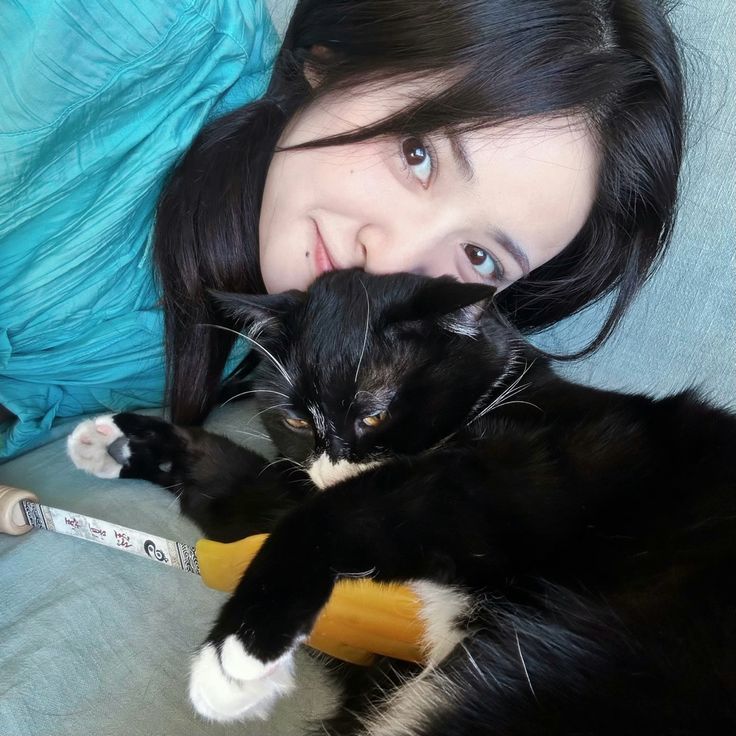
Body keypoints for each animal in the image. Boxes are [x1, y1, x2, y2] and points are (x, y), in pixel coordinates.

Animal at [67, 272, 736, 736]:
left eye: (373, 414)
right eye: (294, 419)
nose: (333, 465)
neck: (491, 404)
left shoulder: (509, 484)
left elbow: (333, 515)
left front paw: (236, 657)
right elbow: (243, 489)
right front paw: (121, 439)